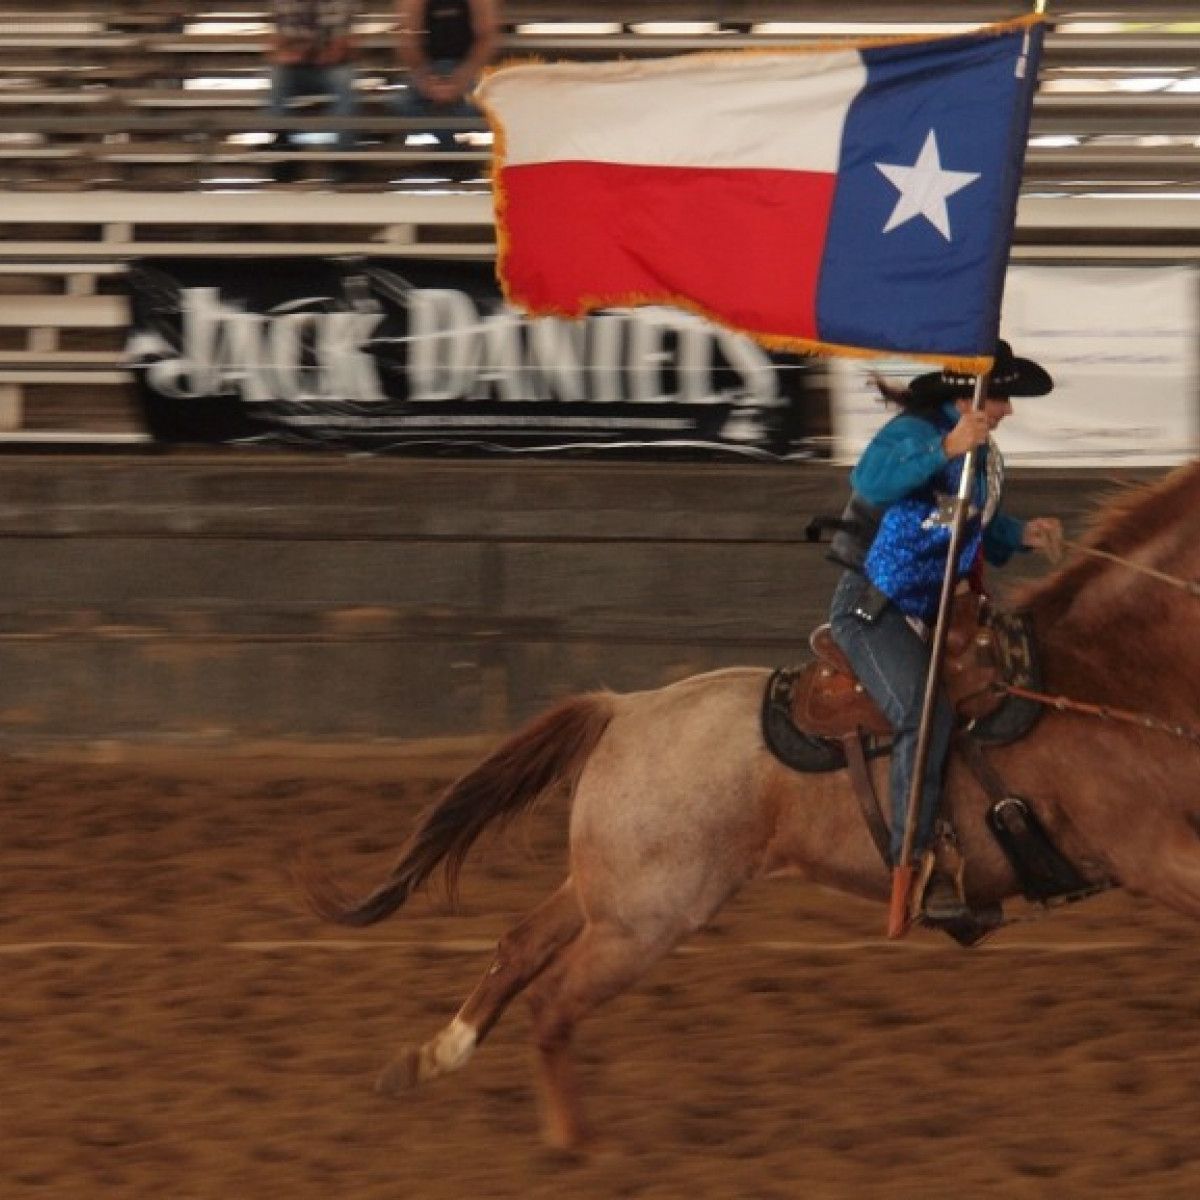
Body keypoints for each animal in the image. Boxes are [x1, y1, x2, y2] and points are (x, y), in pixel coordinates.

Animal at [297, 456, 1200, 1142]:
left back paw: (432, 1058)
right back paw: (577, 1149)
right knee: (552, 1000)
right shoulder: (1155, 853)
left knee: (519, 947)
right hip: (648, 918)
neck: (1106, 677)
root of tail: (624, 709)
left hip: (611, 892)